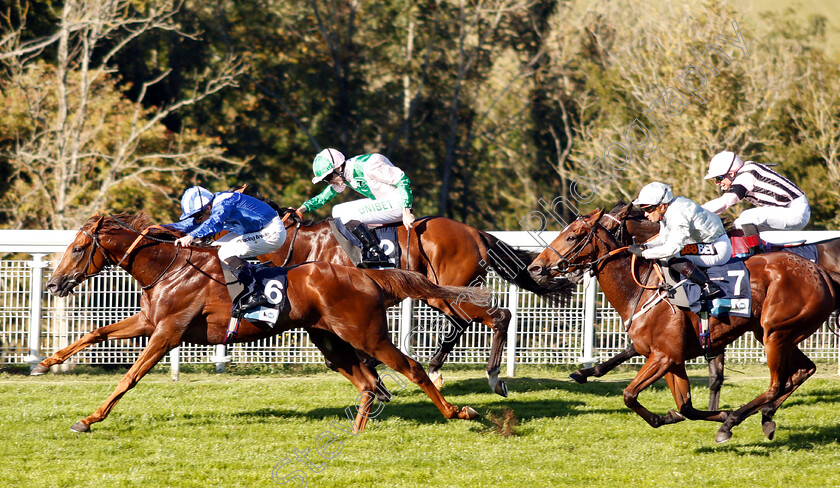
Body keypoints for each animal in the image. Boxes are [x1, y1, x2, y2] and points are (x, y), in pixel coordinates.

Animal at [41, 212, 486, 432]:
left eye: (77, 248)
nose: (53, 283)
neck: (170, 267)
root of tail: (366, 276)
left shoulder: (167, 333)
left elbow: (129, 377)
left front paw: (89, 419)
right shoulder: (150, 321)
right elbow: (96, 331)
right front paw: (46, 362)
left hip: (368, 334)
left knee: (410, 368)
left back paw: (459, 413)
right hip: (329, 339)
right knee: (366, 382)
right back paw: (358, 429)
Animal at [260, 207, 572, 396]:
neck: (310, 245)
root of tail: (476, 233)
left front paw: (376, 376)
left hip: (451, 290)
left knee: (499, 315)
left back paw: (493, 376)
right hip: (439, 294)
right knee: (462, 322)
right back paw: (435, 369)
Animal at [528, 208, 836, 444]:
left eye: (571, 236)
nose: (534, 268)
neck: (642, 289)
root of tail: (821, 273)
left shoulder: (664, 356)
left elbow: (629, 395)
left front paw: (715, 416)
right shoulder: (671, 359)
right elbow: (685, 406)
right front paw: (690, 414)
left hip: (776, 334)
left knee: (777, 383)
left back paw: (732, 424)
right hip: (775, 333)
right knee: (803, 371)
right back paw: (763, 417)